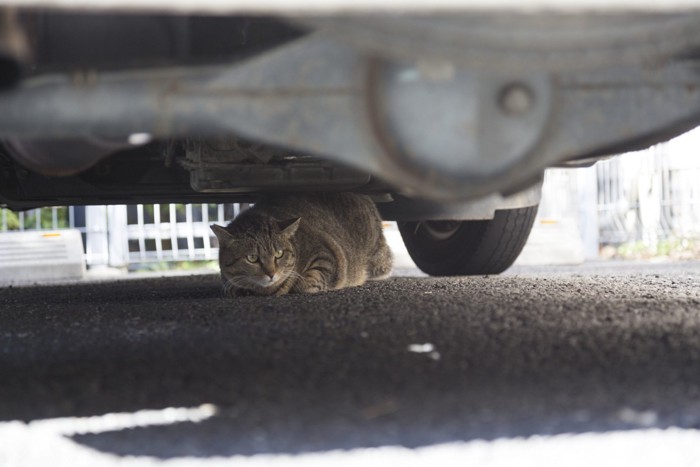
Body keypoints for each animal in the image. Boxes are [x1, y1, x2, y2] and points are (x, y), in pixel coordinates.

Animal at [208, 193, 394, 296]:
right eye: (252, 258)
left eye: (279, 254)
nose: (271, 274)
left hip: (378, 260)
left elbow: (307, 282)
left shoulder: (326, 255)